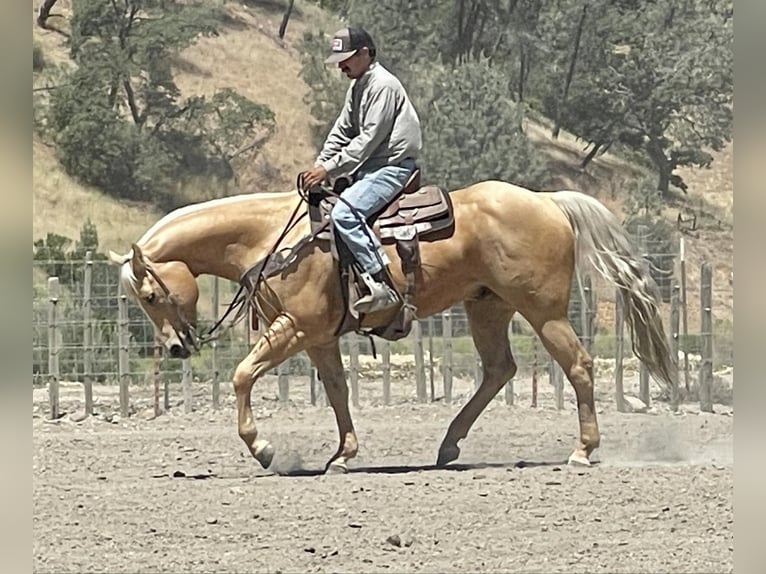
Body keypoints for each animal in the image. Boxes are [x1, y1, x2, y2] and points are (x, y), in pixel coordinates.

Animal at [108, 179, 674, 473]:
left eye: (150, 294)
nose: (176, 348)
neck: (270, 239)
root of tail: (548, 199)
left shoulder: (295, 328)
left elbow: (243, 375)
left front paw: (264, 449)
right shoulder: (316, 337)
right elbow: (336, 390)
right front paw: (342, 455)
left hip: (544, 311)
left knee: (577, 366)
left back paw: (583, 450)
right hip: (487, 308)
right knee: (498, 371)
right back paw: (448, 446)